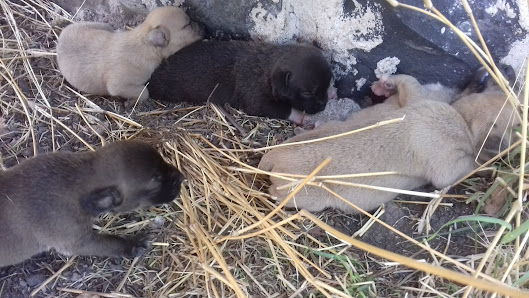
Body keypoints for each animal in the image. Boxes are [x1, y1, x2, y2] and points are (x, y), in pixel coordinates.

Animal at [0, 141, 183, 266]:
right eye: (156, 181)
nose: (181, 177)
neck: (79, 179)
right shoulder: (76, 239)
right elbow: (108, 243)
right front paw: (132, 244)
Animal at [56, 6, 202, 102]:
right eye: (187, 25)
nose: (204, 26)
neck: (144, 43)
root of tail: (60, 38)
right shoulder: (118, 86)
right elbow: (145, 92)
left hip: (101, 25)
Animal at [146, 40, 332, 124]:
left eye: (328, 84)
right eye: (307, 92)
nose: (323, 106)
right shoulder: (255, 99)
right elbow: (282, 109)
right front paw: (301, 116)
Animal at [258, 66, 516, 213]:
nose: (508, 67)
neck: (461, 117)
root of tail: (274, 158)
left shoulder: (416, 99)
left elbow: (407, 81)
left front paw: (383, 85)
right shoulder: (445, 168)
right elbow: (463, 168)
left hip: (331, 127)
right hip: (307, 199)